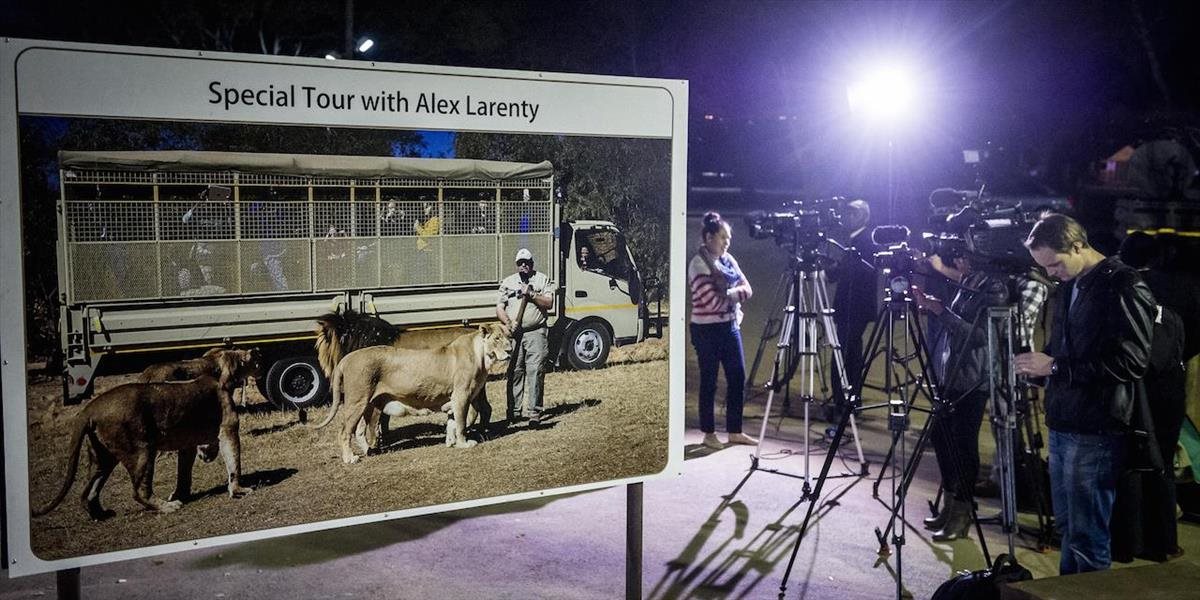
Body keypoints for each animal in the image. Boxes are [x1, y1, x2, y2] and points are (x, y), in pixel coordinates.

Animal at [34, 350, 258, 518]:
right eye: (243, 358)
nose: (253, 352)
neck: (211, 366)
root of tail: (89, 410)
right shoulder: (228, 426)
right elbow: (234, 461)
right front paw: (239, 490)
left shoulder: (186, 442)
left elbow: (184, 471)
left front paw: (181, 493)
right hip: (142, 450)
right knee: (138, 492)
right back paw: (167, 507)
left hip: (102, 457)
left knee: (86, 492)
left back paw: (101, 514)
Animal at [314, 324, 506, 463]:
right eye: (497, 338)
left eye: (509, 336)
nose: (510, 350)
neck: (480, 354)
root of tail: (346, 358)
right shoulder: (461, 395)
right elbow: (460, 423)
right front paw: (463, 444)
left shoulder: (454, 398)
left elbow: (452, 423)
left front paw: (450, 443)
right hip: (357, 401)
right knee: (345, 432)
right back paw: (350, 458)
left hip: (367, 403)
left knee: (360, 430)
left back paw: (369, 450)